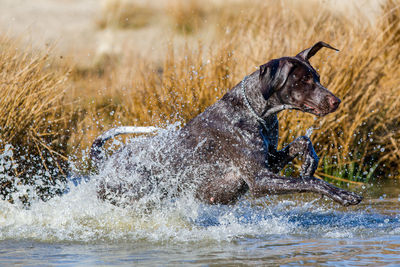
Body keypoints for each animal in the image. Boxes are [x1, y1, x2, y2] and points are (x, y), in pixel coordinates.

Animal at [90, 42, 362, 208]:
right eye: (304, 80)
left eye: (317, 77)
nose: (336, 101)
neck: (255, 113)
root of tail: (106, 163)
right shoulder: (259, 180)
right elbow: (309, 183)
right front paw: (342, 193)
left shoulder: (270, 161)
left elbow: (303, 143)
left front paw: (309, 163)